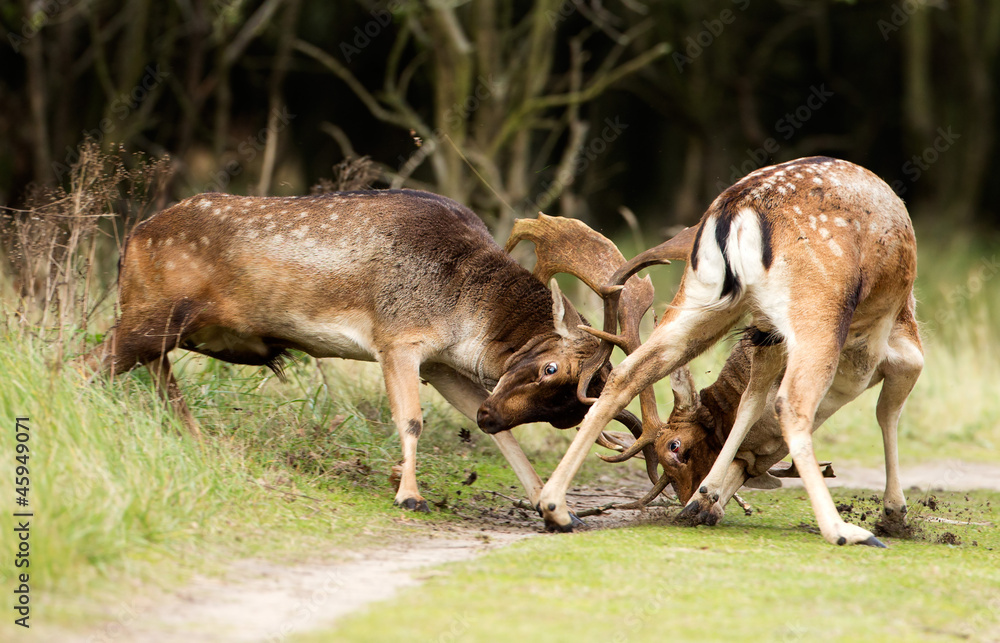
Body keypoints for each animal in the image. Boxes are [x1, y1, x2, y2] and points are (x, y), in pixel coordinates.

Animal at [83, 188, 656, 514]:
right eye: (549, 367)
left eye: (566, 413)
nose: (492, 415)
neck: (463, 309)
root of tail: (131, 240)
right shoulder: (397, 338)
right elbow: (411, 420)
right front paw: (409, 495)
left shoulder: (440, 364)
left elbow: (491, 430)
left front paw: (550, 505)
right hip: (149, 315)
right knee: (83, 366)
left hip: (158, 328)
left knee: (158, 381)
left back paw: (200, 445)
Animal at [535, 157, 924, 547]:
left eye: (676, 448)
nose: (694, 502)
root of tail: (741, 205)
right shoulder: (898, 349)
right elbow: (887, 411)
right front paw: (895, 515)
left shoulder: (768, 337)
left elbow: (750, 403)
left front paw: (704, 497)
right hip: (817, 305)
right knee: (792, 401)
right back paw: (844, 531)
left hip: (701, 295)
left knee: (629, 370)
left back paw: (556, 508)